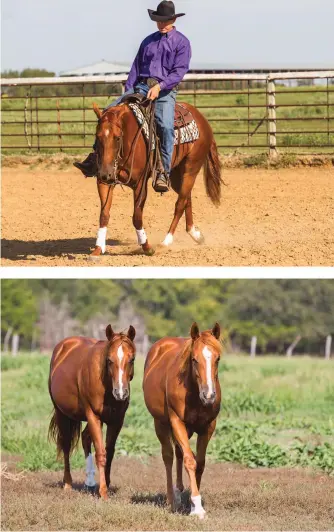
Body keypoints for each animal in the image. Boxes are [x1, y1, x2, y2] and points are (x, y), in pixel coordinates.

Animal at [48, 322, 136, 500]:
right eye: (109, 360)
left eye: (132, 359)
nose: (120, 393)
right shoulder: (94, 416)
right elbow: (101, 453)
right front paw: (103, 491)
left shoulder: (116, 420)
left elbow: (109, 452)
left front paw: (106, 484)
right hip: (62, 414)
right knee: (66, 445)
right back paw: (68, 483)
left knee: (84, 438)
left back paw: (89, 482)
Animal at [90, 101, 223, 258]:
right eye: (98, 137)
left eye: (117, 137)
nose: (105, 173)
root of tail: (202, 119)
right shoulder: (104, 182)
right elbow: (104, 215)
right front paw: (98, 249)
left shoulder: (140, 184)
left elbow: (137, 217)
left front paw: (147, 247)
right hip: (176, 174)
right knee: (186, 199)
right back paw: (195, 235)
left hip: (191, 169)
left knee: (180, 204)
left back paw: (166, 242)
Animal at [143, 322, 222, 516]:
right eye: (194, 359)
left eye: (217, 359)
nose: (209, 395)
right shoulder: (177, 422)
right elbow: (189, 461)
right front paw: (197, 508)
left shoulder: (208, 427)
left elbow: (199, 463)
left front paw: (193, 503)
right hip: (161, 424)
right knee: (169, 456)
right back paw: (172, 500)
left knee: (179, 453)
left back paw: (179, 494)